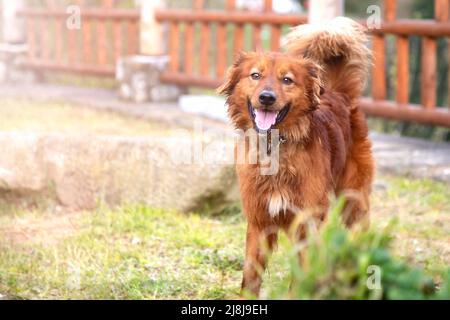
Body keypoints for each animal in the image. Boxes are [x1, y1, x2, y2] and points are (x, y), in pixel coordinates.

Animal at [220, 17, 374, 296]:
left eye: (287, 80)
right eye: (255, 75)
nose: (266, 98)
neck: (274, 148)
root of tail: (338, 93)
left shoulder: (307, 223)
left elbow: (302, 275)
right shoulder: (259, 221)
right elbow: (250, 276)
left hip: (353, 202)